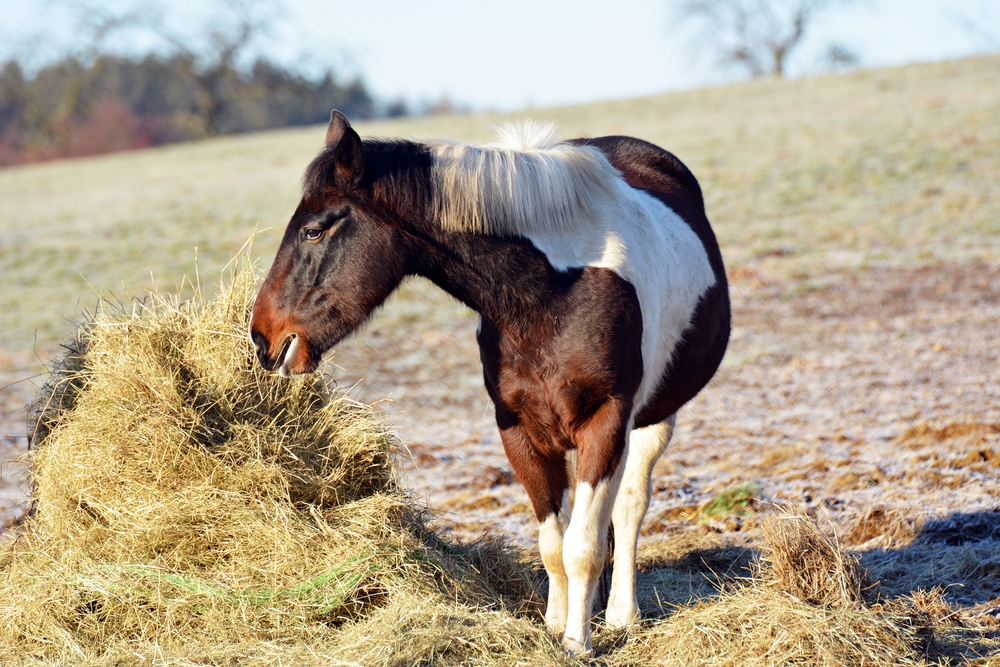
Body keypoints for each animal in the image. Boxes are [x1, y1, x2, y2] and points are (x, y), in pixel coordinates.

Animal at [249, 110, 730, 653]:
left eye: (313, 231)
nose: (262, 337)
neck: (551, 294)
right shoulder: (518, 430)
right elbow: (552, 544)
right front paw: (553, 627)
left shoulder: (605, 423)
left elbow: (583, 545)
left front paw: (578, 642)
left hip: (654, 419)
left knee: (629, 508)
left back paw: (621, 615)